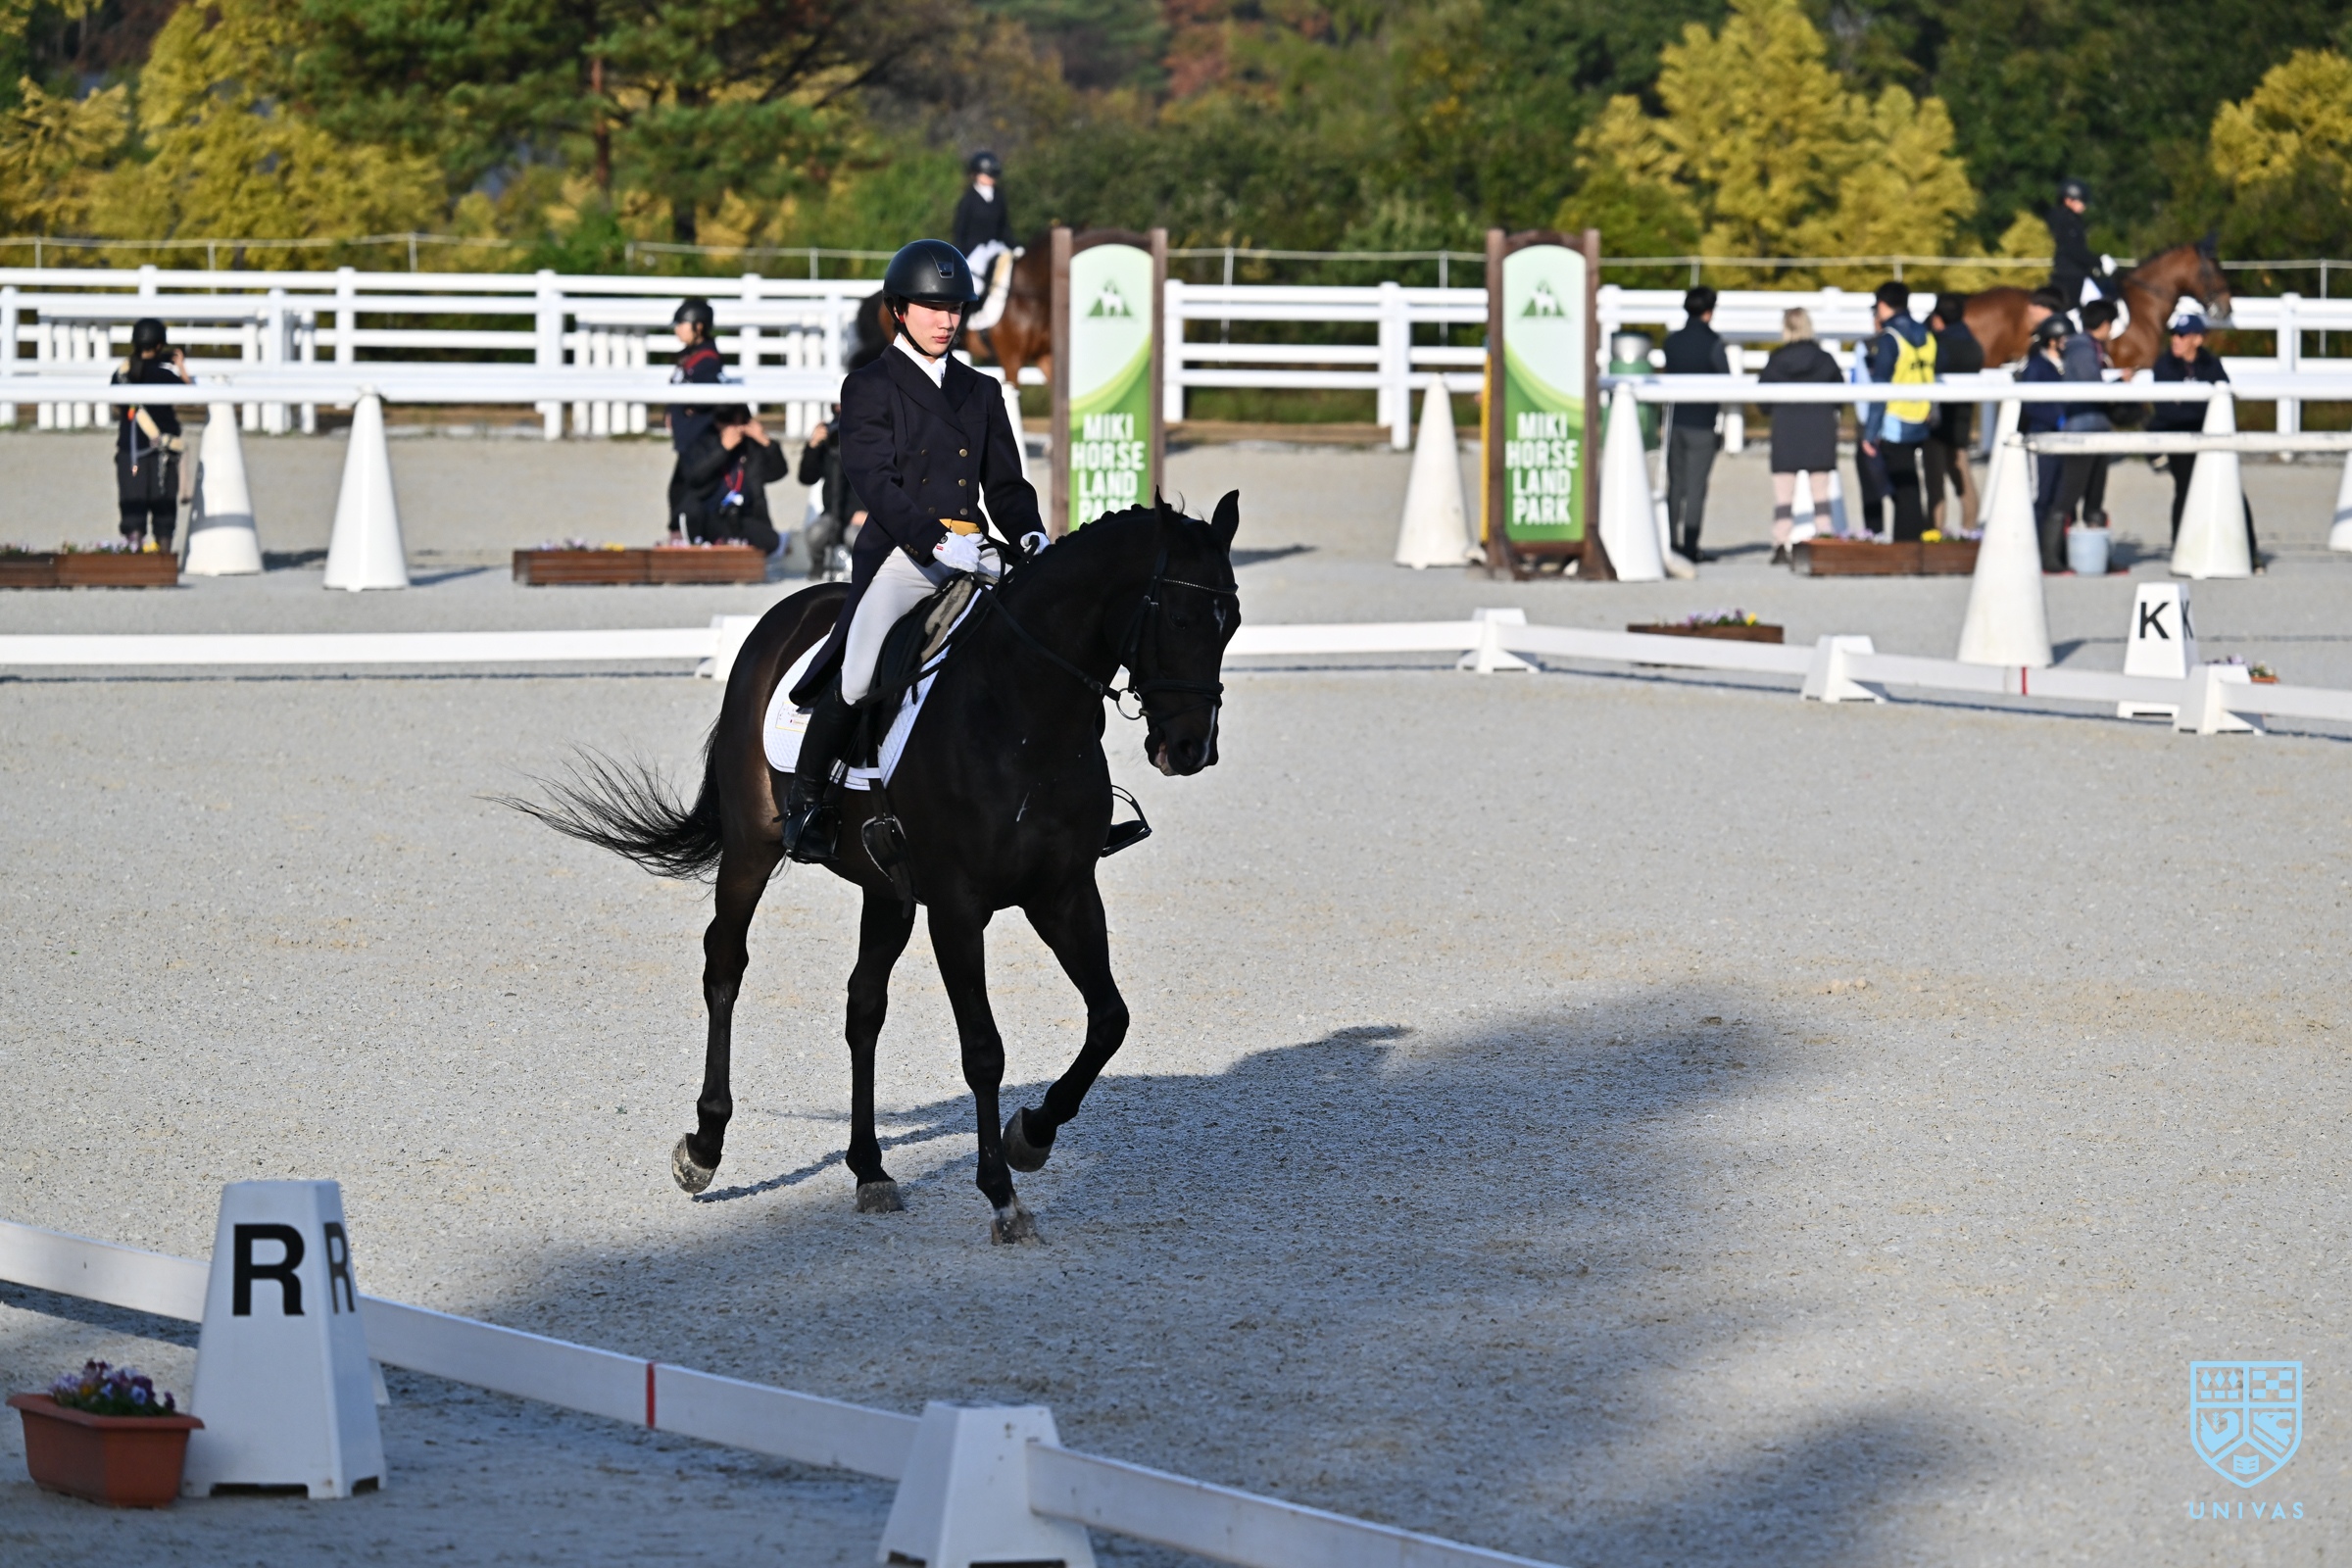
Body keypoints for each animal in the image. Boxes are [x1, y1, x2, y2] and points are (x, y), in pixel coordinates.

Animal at [509, 496, 1242, 1243]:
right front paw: (1002, 1195)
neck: (1023, 711)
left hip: (885, 888)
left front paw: (1030, 1136)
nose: (1191, 749)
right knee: (726, 965)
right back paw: (705, 1145)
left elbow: (1109, 1020)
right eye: (1181, 619)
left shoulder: (1063, 894)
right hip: (751, 848)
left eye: (1233, 623)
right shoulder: (957, 909)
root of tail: (789, 612)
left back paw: (869, 1168)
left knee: (863, 1005)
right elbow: (983, 1048)